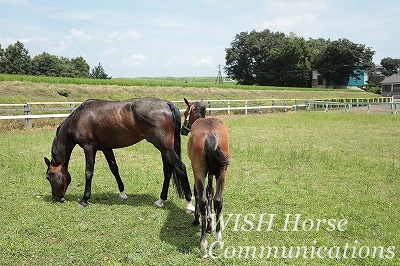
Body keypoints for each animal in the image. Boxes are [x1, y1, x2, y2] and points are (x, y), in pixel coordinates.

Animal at [43, 96, 194, 213]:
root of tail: (166, 103)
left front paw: (84, 199)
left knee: (180, 167)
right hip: (164, 149)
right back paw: (160, 200)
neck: (78, 118)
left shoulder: (89, 148)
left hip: (165, 147)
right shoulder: (106, 148)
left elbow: (88, 172)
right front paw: (122, 193)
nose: (56, 199)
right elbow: (114, 169)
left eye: (48, 177)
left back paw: (189, 204)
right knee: (168, 171)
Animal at [180, 97, 230, 258]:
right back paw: (218, 239)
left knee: (202, 200)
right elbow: (210, 191)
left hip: (200, 172)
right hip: (222, 172)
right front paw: (209, 223)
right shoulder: (212, 173)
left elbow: (199, 193)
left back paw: (203, 246)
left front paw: (200, 219)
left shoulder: (198, 172)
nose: (183, 130)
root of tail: (210, 135)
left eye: (185, 113)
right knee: (218, 199)